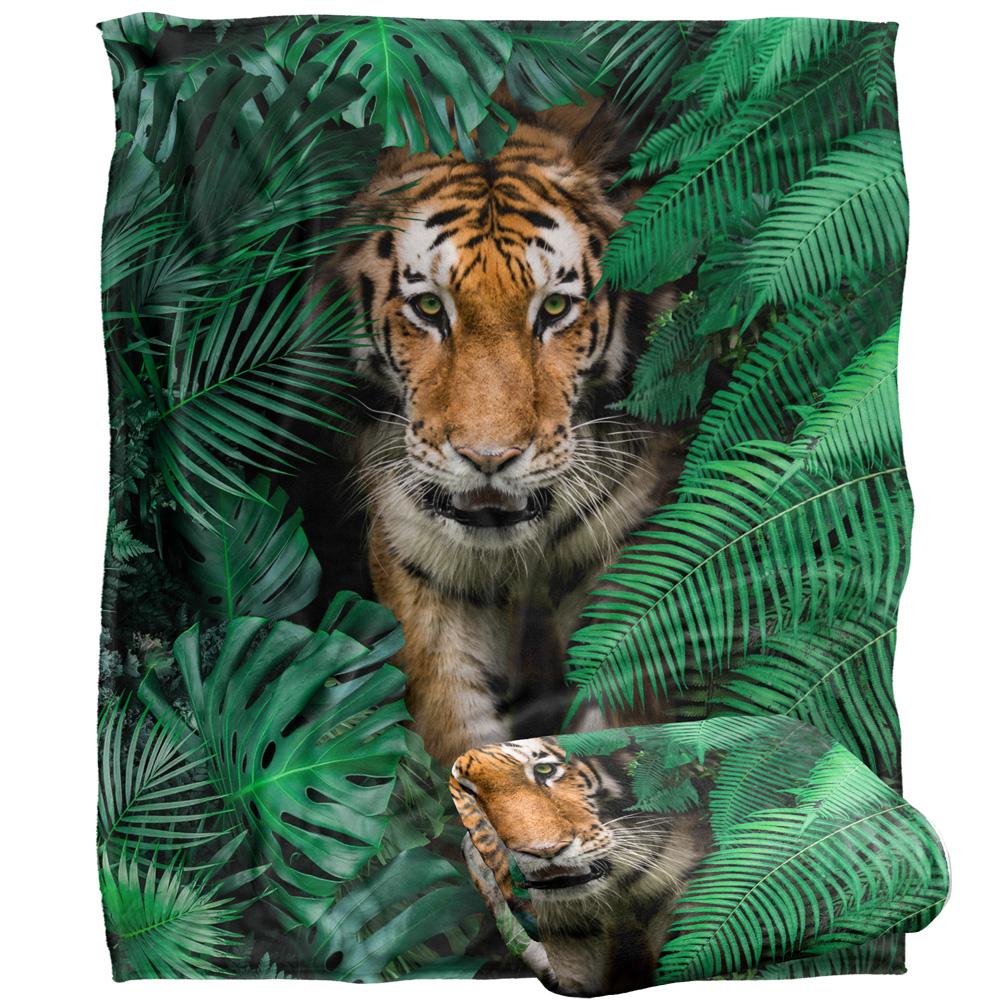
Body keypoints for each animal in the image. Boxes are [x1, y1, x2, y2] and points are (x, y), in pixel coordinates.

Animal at [319, 96, 684, 765]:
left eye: (555, 308)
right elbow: (458, 728)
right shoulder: (422, 567)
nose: (488, 458)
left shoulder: (637, 543)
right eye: (430, 307)